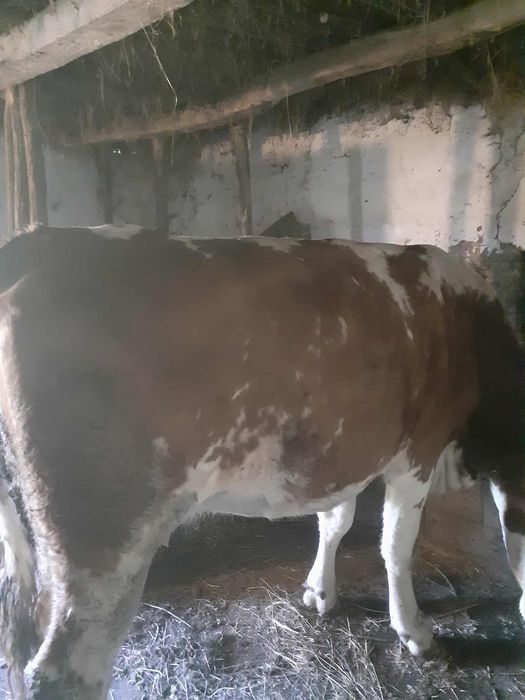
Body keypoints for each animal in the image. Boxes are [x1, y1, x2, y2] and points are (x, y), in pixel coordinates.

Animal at [0, 224, 522, 699]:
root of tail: (42, 239)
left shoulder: (346, 451)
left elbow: (335, 520)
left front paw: (319, 591)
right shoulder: (418, 449)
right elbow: (396, 545)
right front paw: (414, 632)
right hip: (104, 544)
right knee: (63, 671)